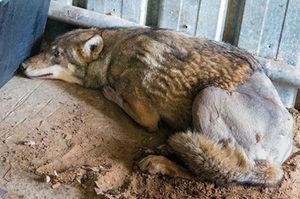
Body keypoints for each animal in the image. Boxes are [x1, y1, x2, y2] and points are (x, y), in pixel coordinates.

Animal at [21, 28, 292, 187]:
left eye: (57, 53)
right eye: (49, 49)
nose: (22, 65)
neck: (113, 53)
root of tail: (279, 160)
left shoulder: (146, 116)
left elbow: (125, 103)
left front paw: (110, 92)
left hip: (207, 95)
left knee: (216, 175)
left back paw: (161, 162)